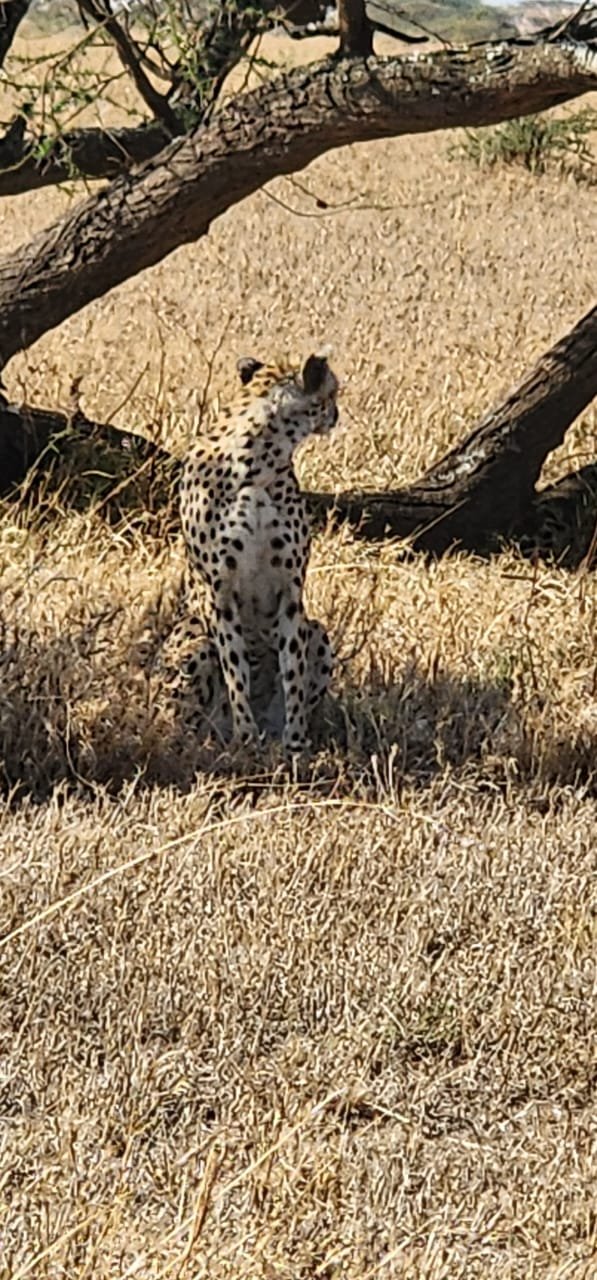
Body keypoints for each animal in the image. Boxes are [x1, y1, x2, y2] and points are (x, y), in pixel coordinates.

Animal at [176, 348, 340, 752]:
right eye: (332, 392)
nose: (336, 414)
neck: (256, 458)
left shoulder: (290, 591)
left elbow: (294, 671)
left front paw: (296, 741)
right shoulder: (220, 593)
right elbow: (235, 669)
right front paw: (245, 735)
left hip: (318, 631)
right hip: (195, 644)